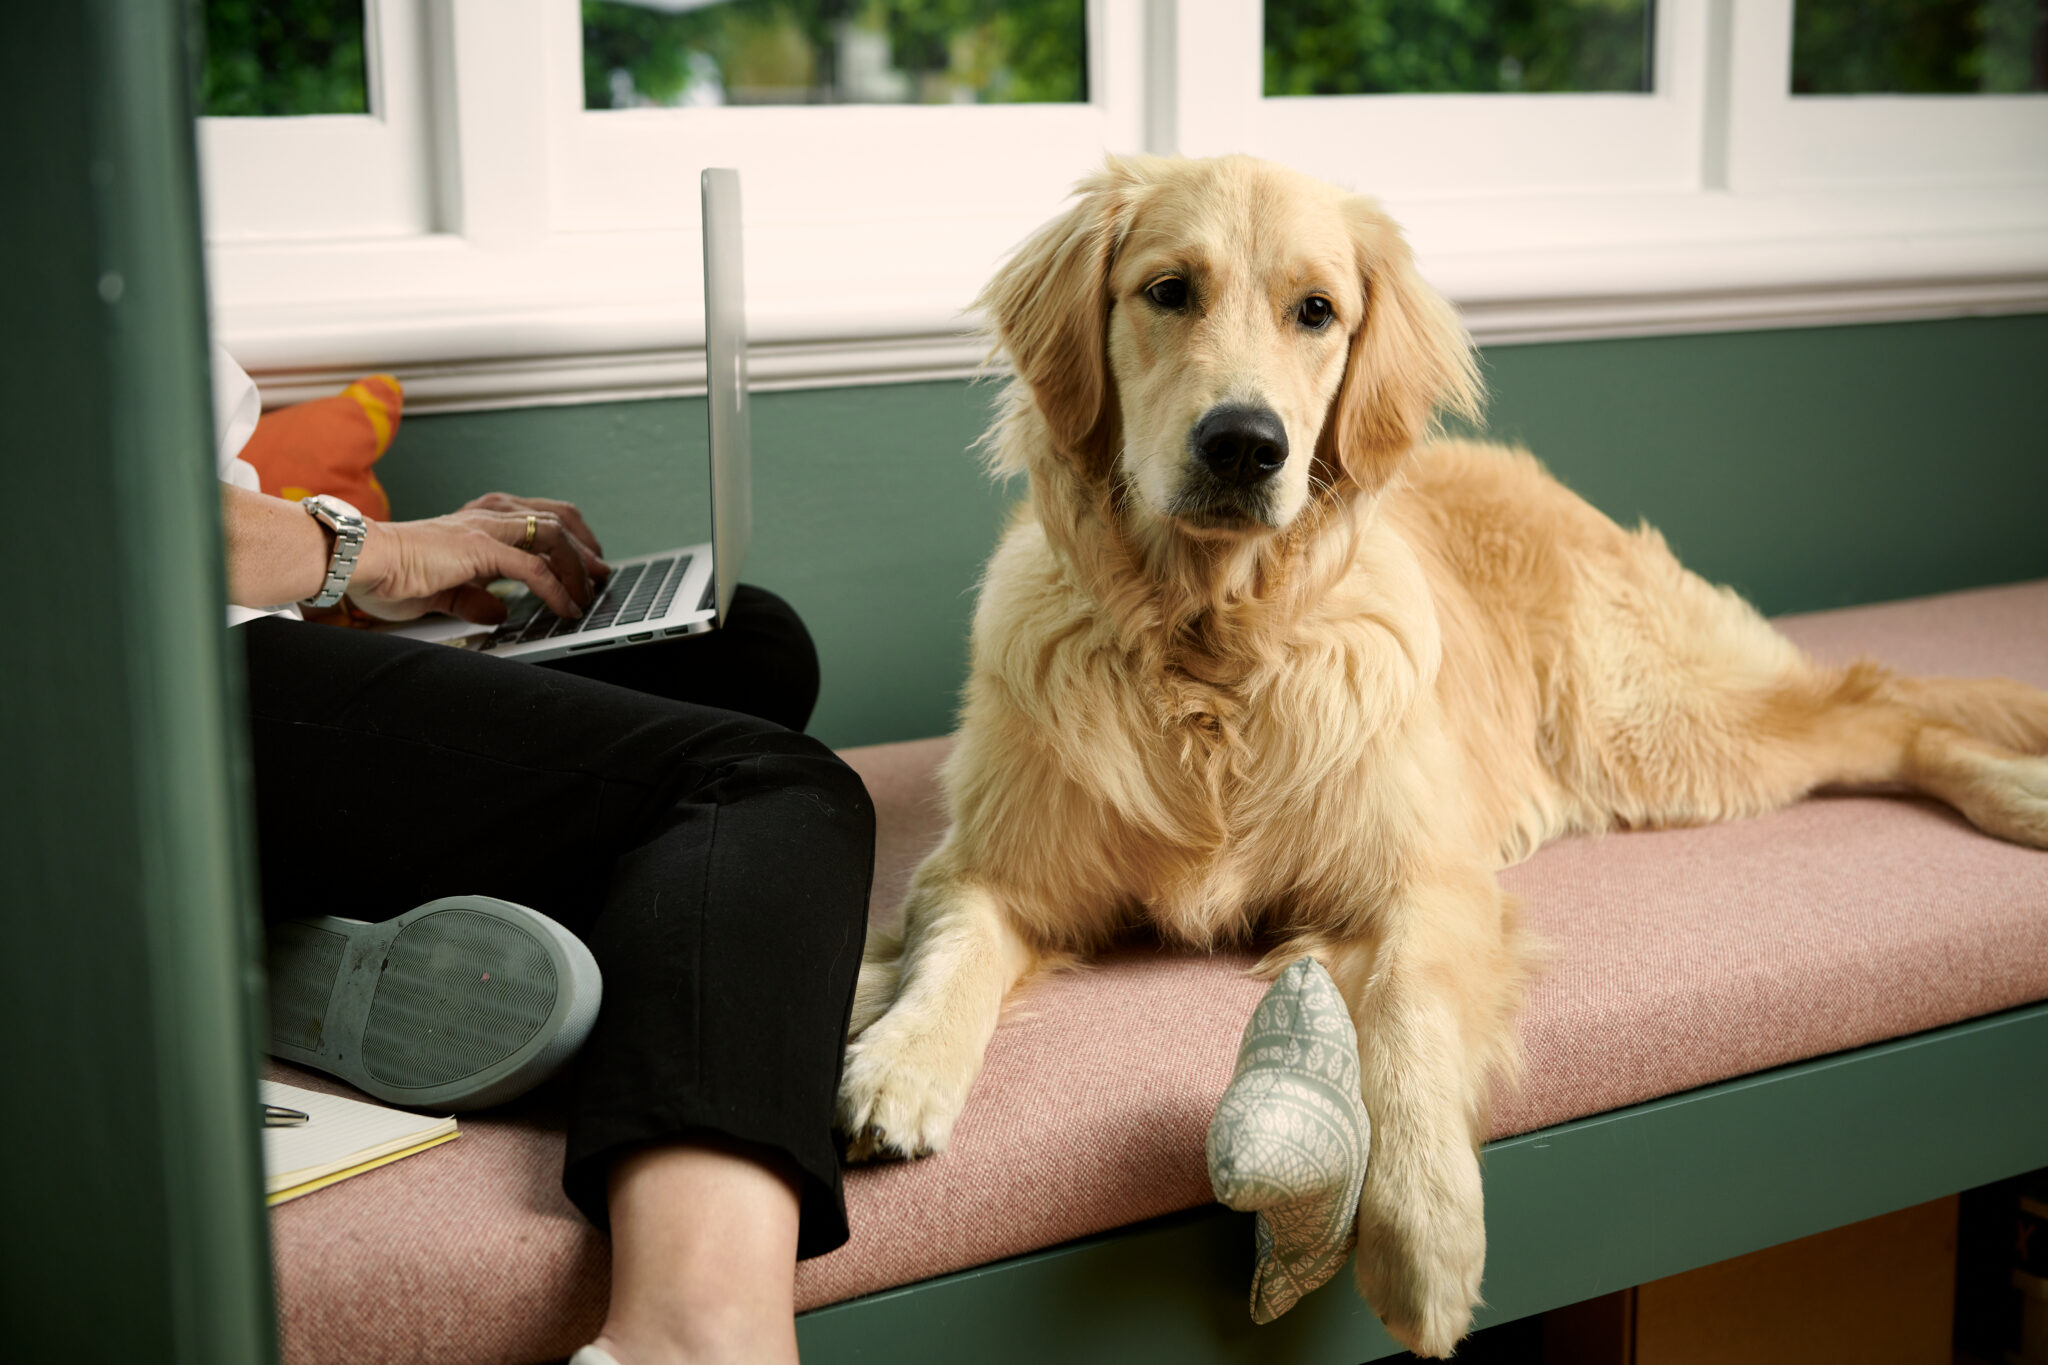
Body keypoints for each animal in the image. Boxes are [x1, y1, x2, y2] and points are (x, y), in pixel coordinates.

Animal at [831, 157, 2048, 1358]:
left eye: (1316, 311)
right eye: (1167, 291)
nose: (1244, 443)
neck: (1213, 648)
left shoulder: (1424, 881)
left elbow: (1410, 1022)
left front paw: (1424, 1229)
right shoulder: (988, 867)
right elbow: (953, 953)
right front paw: (897, 1059)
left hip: (1656, 739)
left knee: (1877, 701)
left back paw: (2014, 792)